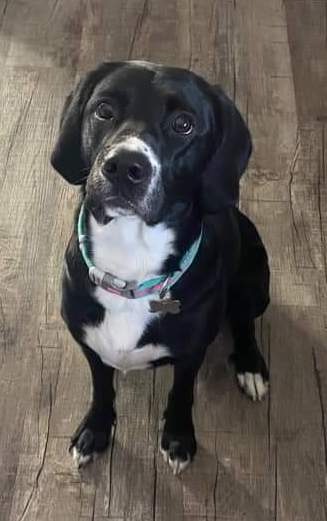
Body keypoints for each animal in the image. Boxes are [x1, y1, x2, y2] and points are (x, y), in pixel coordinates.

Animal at [51, 61, 270, 476]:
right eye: (104, 110)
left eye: (184, 124)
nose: (124, 166)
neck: (130, 264)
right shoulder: (89, 344)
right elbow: (101, 388)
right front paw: (95, 431)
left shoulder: (191, 354)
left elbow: (181, 394)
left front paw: (179, 438)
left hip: (255, 282)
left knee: (244, 322)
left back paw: (251, 366)